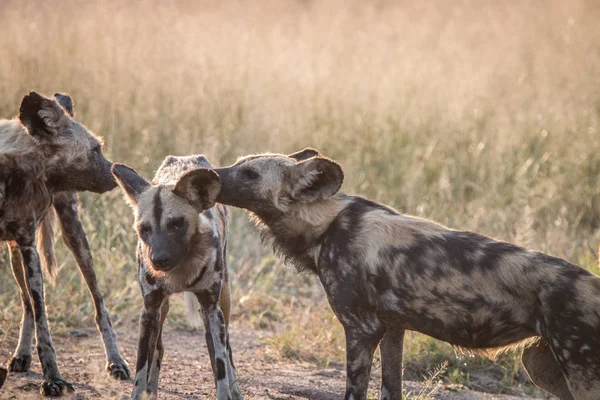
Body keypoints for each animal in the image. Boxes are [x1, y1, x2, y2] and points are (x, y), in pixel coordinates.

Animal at [0, 92, 123, 396]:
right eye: (96, 150)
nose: (117, 173)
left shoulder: (29, 246)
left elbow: (44, 323)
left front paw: (53, 379)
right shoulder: (24, 246)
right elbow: (36, 311)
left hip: (73, 236)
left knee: (99, 305)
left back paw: (116, 361)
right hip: (14, 253)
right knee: (26, 303)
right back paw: (21, 354)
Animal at [112, 155, 244, 400]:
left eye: (177, 224)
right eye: (144, 229)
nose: (158, 260)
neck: (181, 269)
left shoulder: (211, 307)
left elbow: (220, 363)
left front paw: (225, 392)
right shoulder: (150, 308)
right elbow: (142, 363)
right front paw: (140, 393)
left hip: (223, 304)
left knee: (223, 350)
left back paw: (235, 390)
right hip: (162, 310)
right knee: (158, 348)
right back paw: (152, 390)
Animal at [213, 148, 600, 400]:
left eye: (250, 174)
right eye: (238, 164)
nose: (212, 173)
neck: (326, 223)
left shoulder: (361, 330)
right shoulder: (392, 330)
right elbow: (391, 388)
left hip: (578, 375)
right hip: (542, 366)